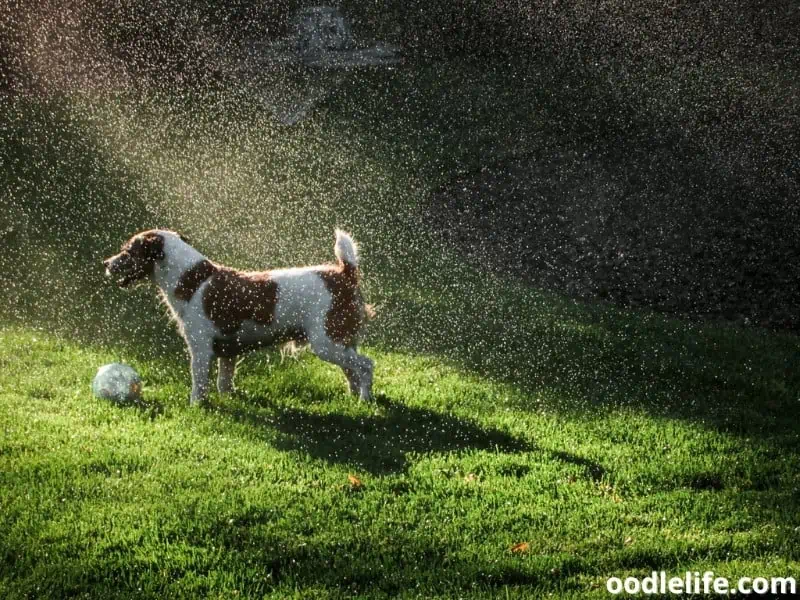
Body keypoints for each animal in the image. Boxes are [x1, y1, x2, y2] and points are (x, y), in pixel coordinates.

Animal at [101, 227, 374, 406]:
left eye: (128, 251)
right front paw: (229, 399)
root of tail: (344, 272)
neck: (194, 280)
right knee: (352, 370)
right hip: (341, 342)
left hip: (326, 343)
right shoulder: (228, 353)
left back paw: (365, 399)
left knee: (366, 365)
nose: (106, 263)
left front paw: (195, 407)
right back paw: (352, 398)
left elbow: (199, 382)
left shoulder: (200, 349)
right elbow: (224, 382)